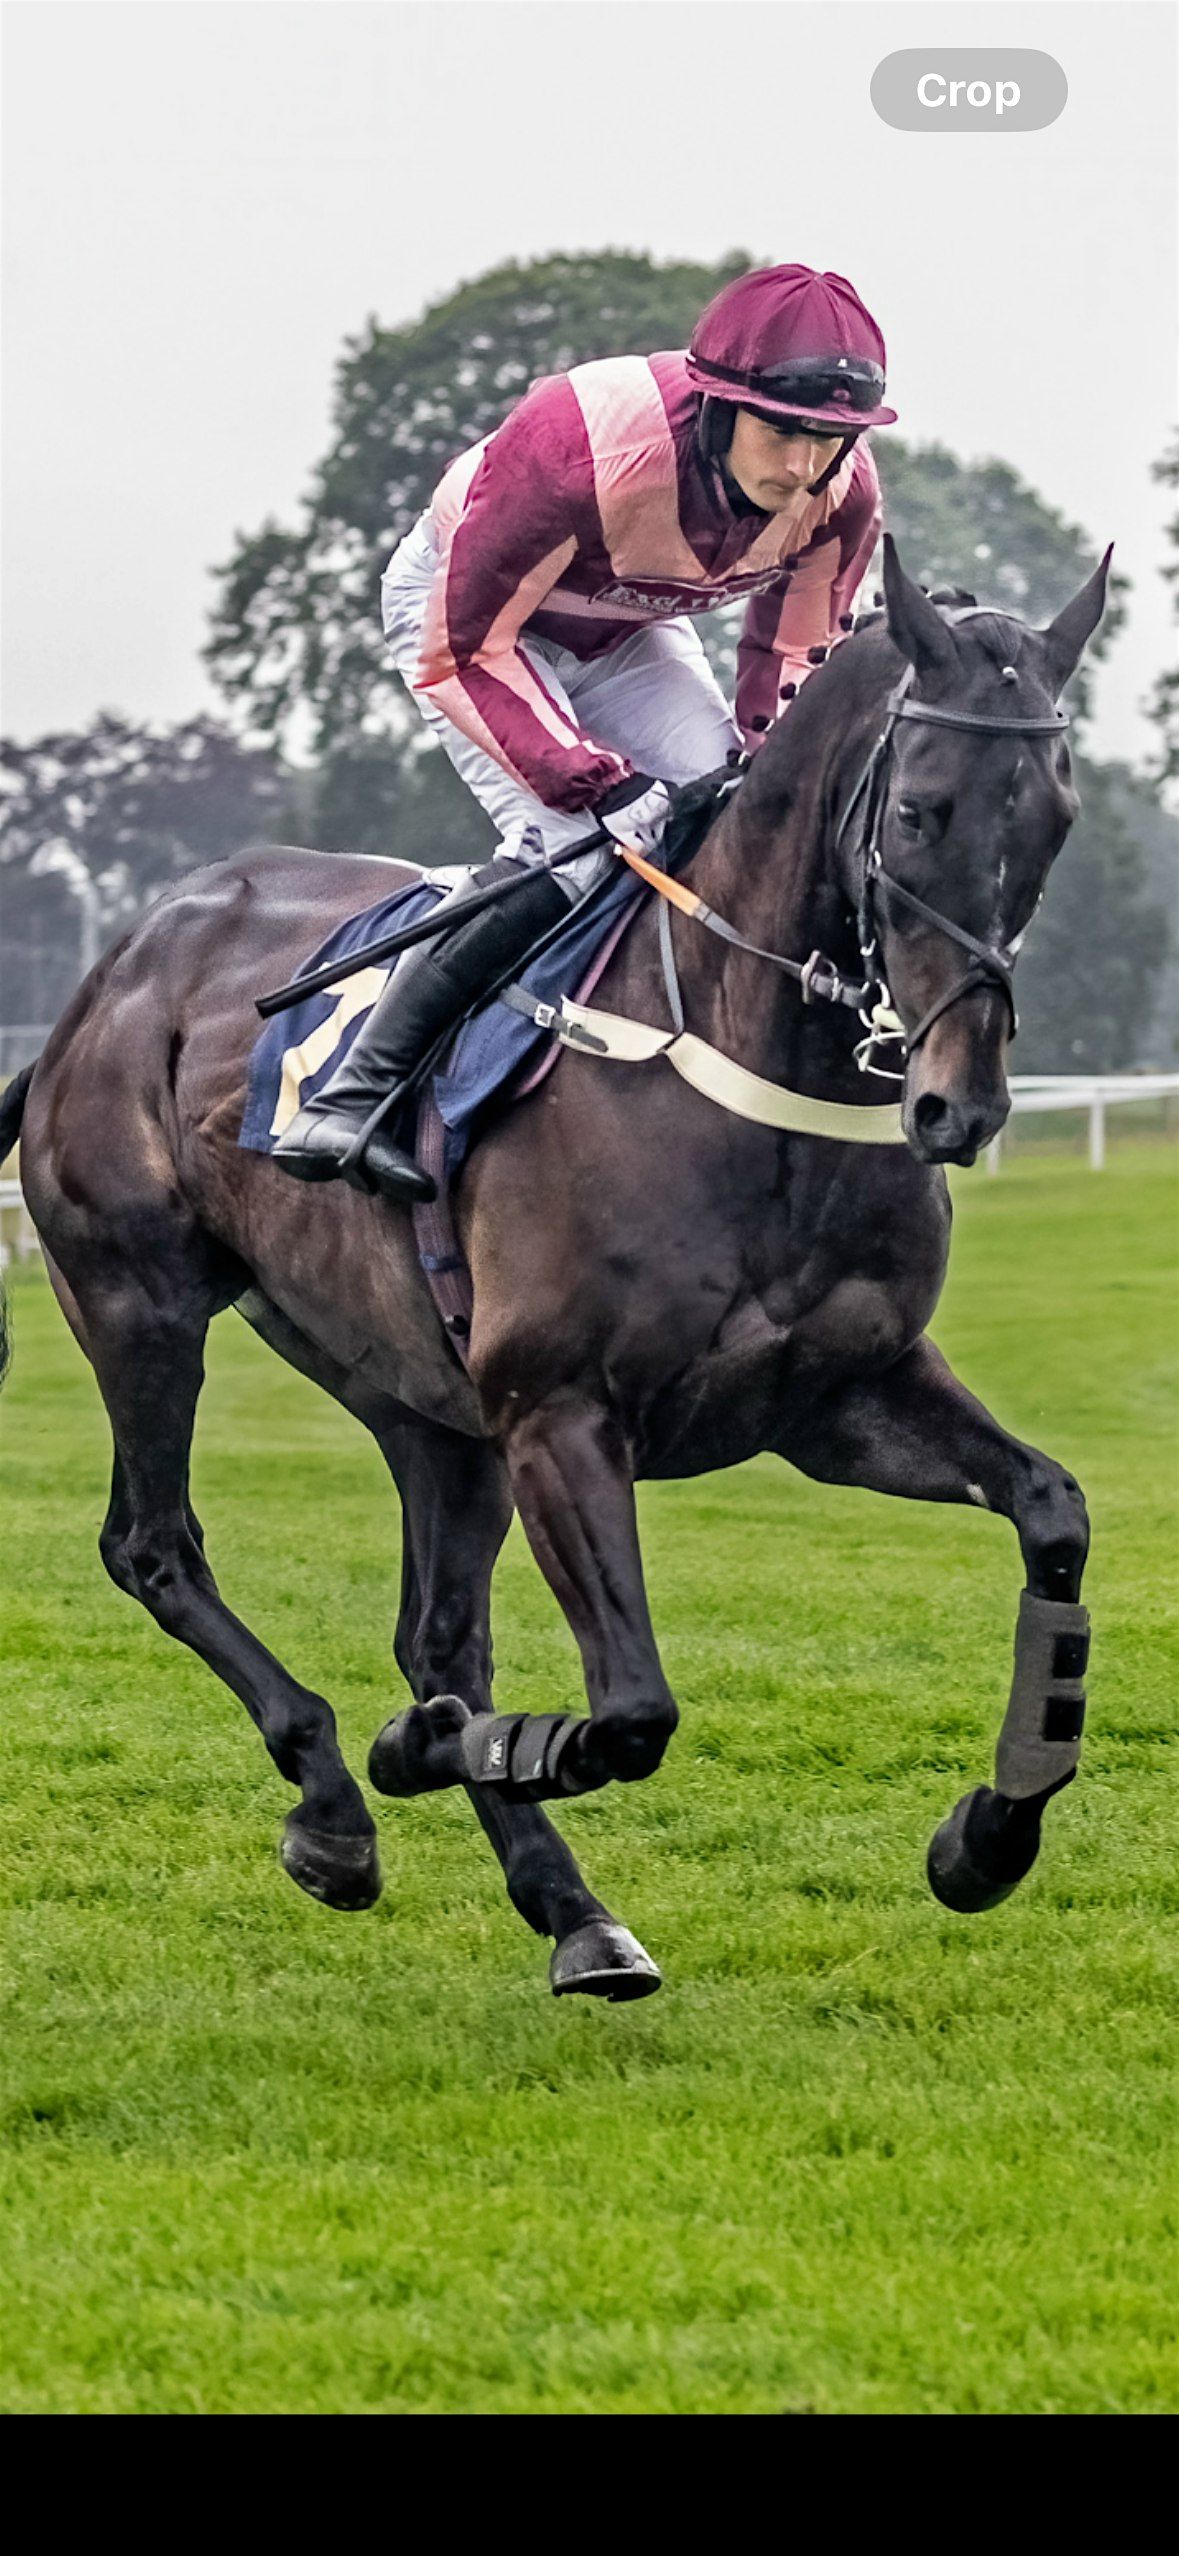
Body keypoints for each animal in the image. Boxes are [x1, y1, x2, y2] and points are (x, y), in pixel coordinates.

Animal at [2, 549, 1104, 2003]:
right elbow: (630, 1711)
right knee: (154, 1546)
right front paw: (415, 1749)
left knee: (436, 1634)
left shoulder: (837, 1398)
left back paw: (566, 1905)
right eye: (919, 809)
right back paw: (336, 1801)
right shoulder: (558, 1412)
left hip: (419, 1399)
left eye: (1056, 819)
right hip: (142, 1306)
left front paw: (986, 1835)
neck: (743, 1074)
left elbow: (1052, 1511)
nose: (957, 1106)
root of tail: (107, 982)